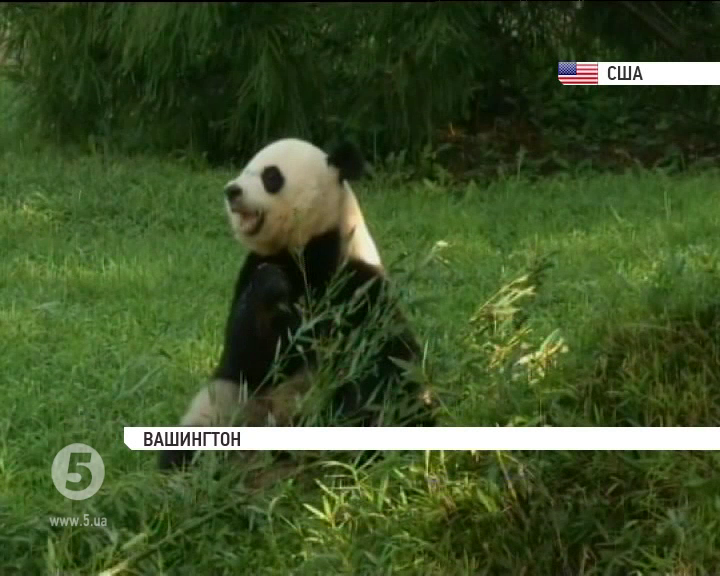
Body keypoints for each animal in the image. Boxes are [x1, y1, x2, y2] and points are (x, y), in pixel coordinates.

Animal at [158, 137, 436, 472]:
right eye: (245, 169)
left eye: (271, 176)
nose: (232, 191)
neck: (303, 250)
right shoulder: (253, 270)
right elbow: (246, 356)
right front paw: (274, 287)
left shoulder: (357, 282)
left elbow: (385, 357)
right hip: (225, 409)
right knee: (189, 445)